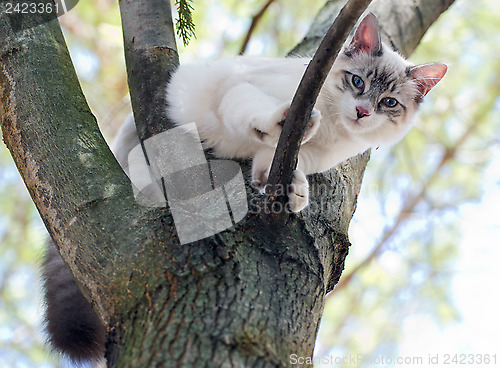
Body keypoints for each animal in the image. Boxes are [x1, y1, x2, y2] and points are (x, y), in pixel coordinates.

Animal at [115, 14, 448, 213]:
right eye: (357, 82)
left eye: (389, 102)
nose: (362, 111)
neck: (332, 127)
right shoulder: (243, 87)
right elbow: (264, 124)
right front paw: (284, 128)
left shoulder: (317, 155)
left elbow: (280, 159)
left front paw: (289, 188)